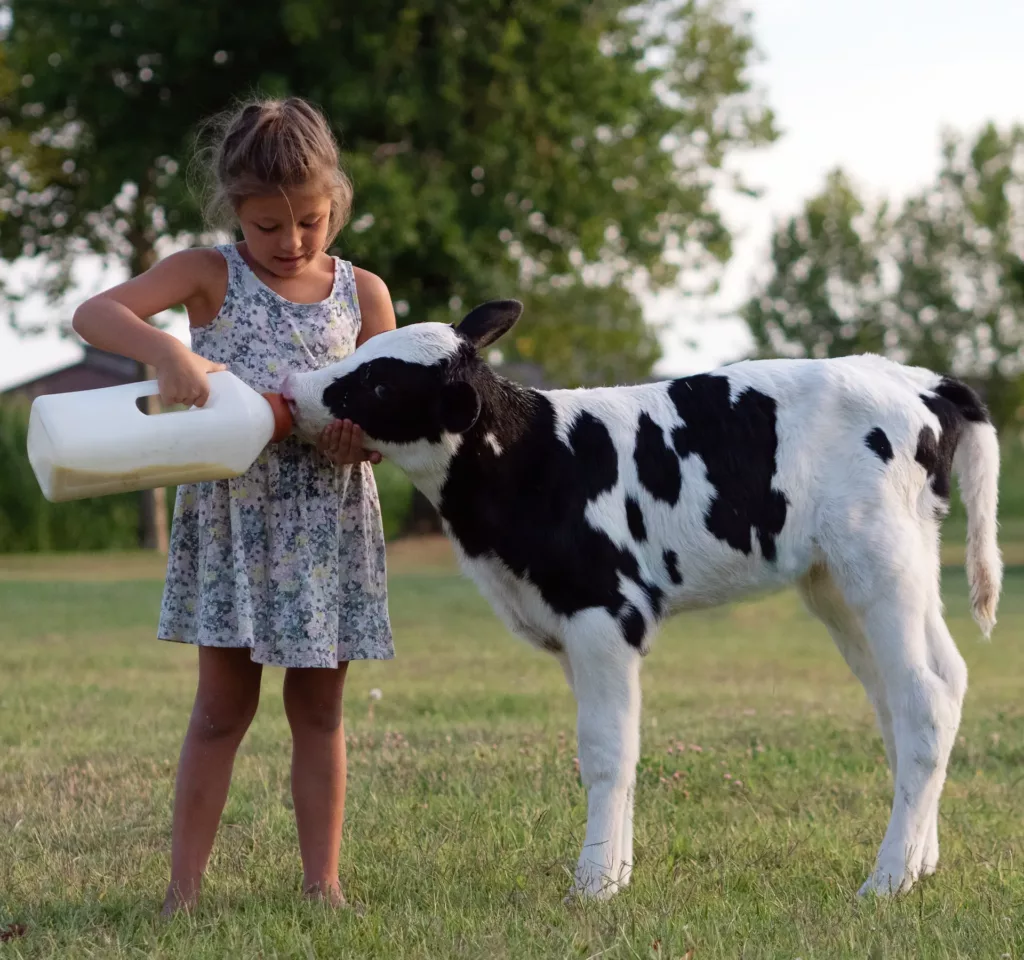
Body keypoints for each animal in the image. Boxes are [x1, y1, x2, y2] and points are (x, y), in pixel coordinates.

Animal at [280, 298, 999, 896]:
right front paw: (617, 872)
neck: (534, 463)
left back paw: (886, 880)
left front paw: (593, 885)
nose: (292, 388)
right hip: (841, 582)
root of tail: (921, 381)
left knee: (926, 699)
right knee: (918, 692)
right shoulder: (569, 623)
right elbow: (618, 746)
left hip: (882, 564)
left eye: (379, 382)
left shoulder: (605, 612)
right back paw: (920, 863)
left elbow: (604, 752)